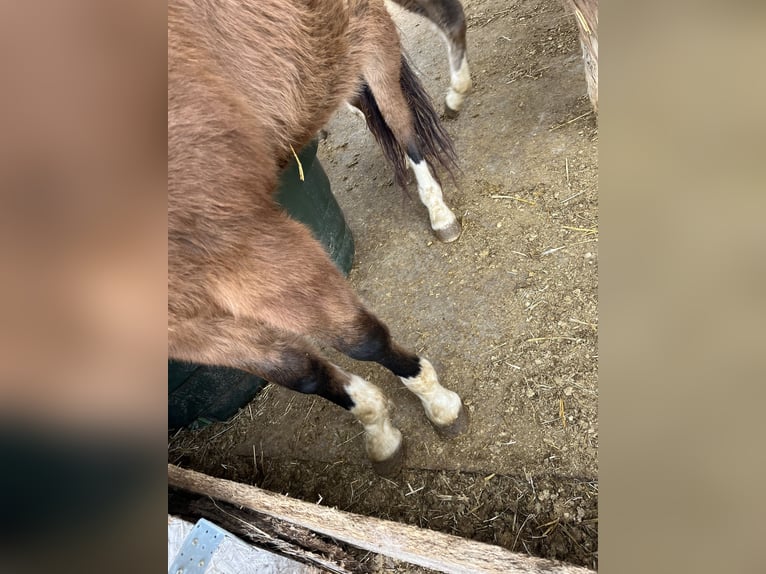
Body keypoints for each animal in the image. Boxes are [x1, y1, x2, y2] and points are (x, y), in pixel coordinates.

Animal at [168, 0, 468, 476]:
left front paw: (438, 402)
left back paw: (441, 192)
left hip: (369, 39)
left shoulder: (253, 247)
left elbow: (360, 338)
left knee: (404, 121)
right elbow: (299, 372)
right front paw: (377, 426)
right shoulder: (181, 323)